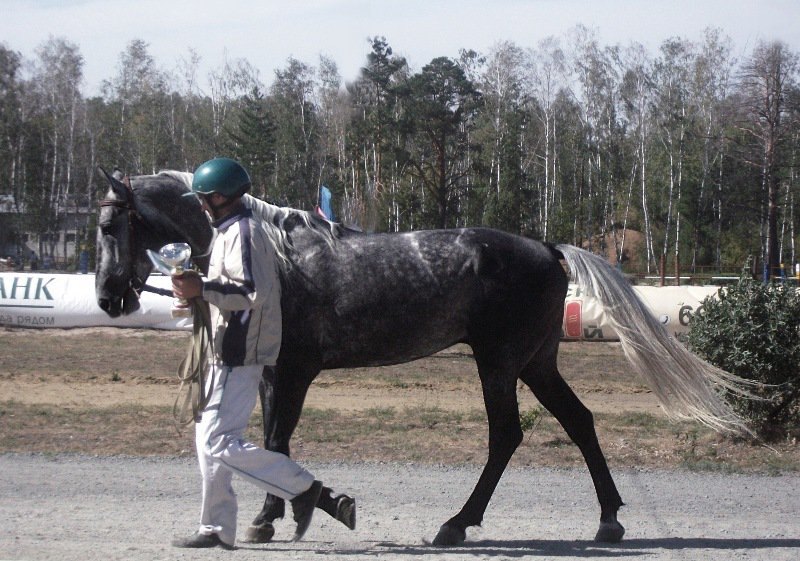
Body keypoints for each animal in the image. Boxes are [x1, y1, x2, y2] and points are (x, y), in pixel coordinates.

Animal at [95, 168, 752, 544]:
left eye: (108, 227)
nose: (107, 297)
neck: (278, 259)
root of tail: (547, 247)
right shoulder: (268, 372)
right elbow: (269, 440)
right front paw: (285, 510)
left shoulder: (295, 371)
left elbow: (277, 442)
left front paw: (276, 515)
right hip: (536, 362)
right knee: (580, 421)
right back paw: (609, 519)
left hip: (498, 364)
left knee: (507, 435)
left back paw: (457, 523)